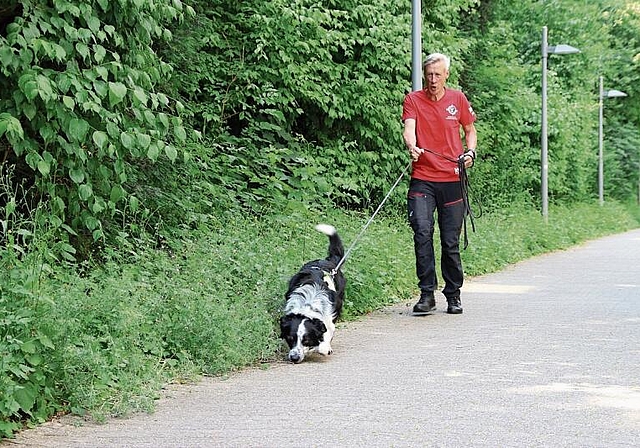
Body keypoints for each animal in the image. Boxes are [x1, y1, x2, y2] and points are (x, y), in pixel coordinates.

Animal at [278, 224, 344, 364]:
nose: (294, 358)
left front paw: (324, 347)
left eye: (306, 340)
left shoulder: (329, 316)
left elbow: (328, 331)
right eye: (290, 339)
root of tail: (328, 261)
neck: (308, 304)